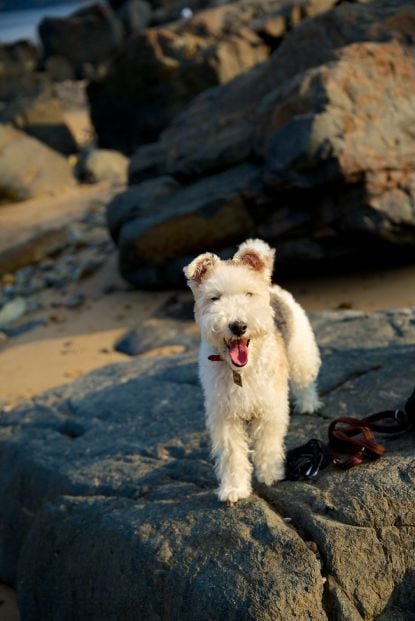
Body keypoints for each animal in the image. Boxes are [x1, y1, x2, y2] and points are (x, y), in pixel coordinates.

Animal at [184, 237, 324, 504]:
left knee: (305, 380)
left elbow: (268, 445)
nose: (238, 326)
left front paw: (271, 474)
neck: (241, 372)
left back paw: (308, 403)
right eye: (214, 298)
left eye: (249, 293)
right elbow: (232, 456)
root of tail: (272, 287)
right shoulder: (225, 417)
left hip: (300, 350)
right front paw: (234, 489)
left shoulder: (270, 408)